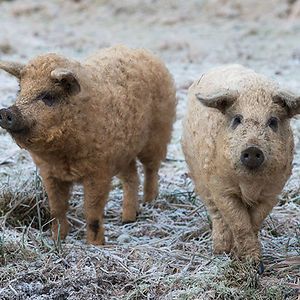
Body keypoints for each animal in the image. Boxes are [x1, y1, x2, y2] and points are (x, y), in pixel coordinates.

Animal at [0, 45, 177, 245]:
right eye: (20, 90)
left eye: (48, 96)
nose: (6, 112)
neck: (62, 155)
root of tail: (142, 51)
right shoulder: (49, 173)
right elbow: (57, 208)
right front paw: (57, 240)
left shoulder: (99, 170)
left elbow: (92, 211)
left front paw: (95, 244)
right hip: (124, 152)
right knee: (132, 177)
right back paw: (128, 219)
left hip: (159, 133)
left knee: (151, 169)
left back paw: (150, 202)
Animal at [180, 64, 300, 264]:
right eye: (237, 119)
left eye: (273, 121)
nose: (252, 149)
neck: (250, 184)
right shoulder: (222, 189)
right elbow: (239, 222)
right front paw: (248, 260)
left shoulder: (272, 192)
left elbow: (254, 221)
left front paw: (248, 259)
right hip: (198, 176)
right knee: (216, 214)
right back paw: (219, 250)